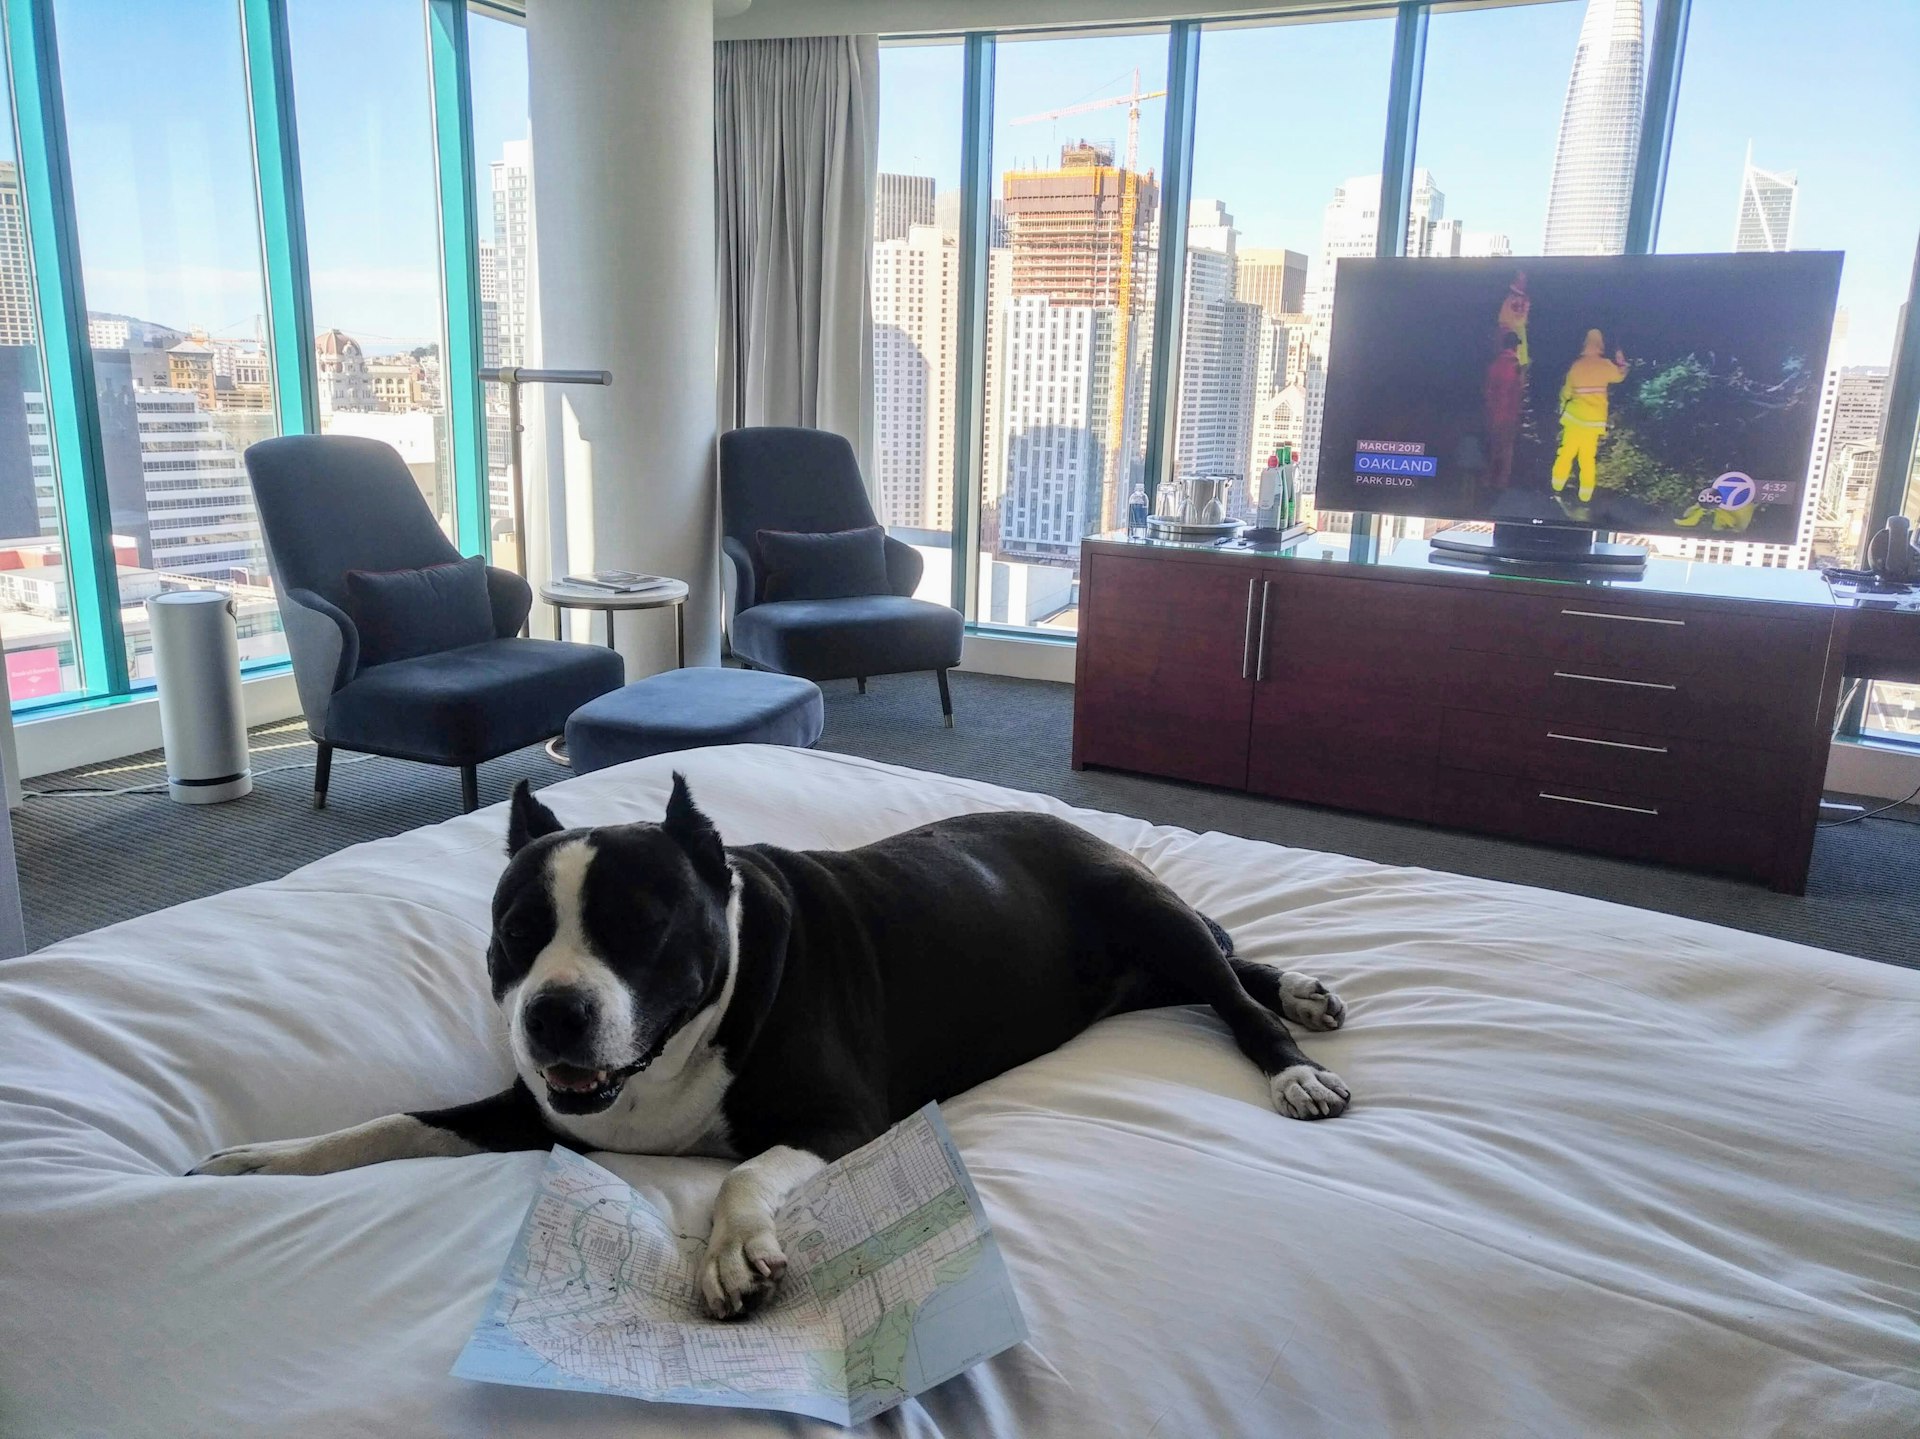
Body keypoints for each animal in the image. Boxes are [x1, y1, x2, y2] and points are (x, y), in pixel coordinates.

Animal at [187, 780, 1344, 1321]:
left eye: (641, 925)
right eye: (516, 928)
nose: (554, 1013)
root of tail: (1070, 824)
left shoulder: (838, 1117)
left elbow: (741, 1171)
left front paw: (733, 1249)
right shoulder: (534, 1105)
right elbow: (391, 1119)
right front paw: (264, 1159)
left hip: (1141, 907)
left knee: (1226, 987)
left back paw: (1294, 1054)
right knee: (1229, 958)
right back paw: (1300, 983)